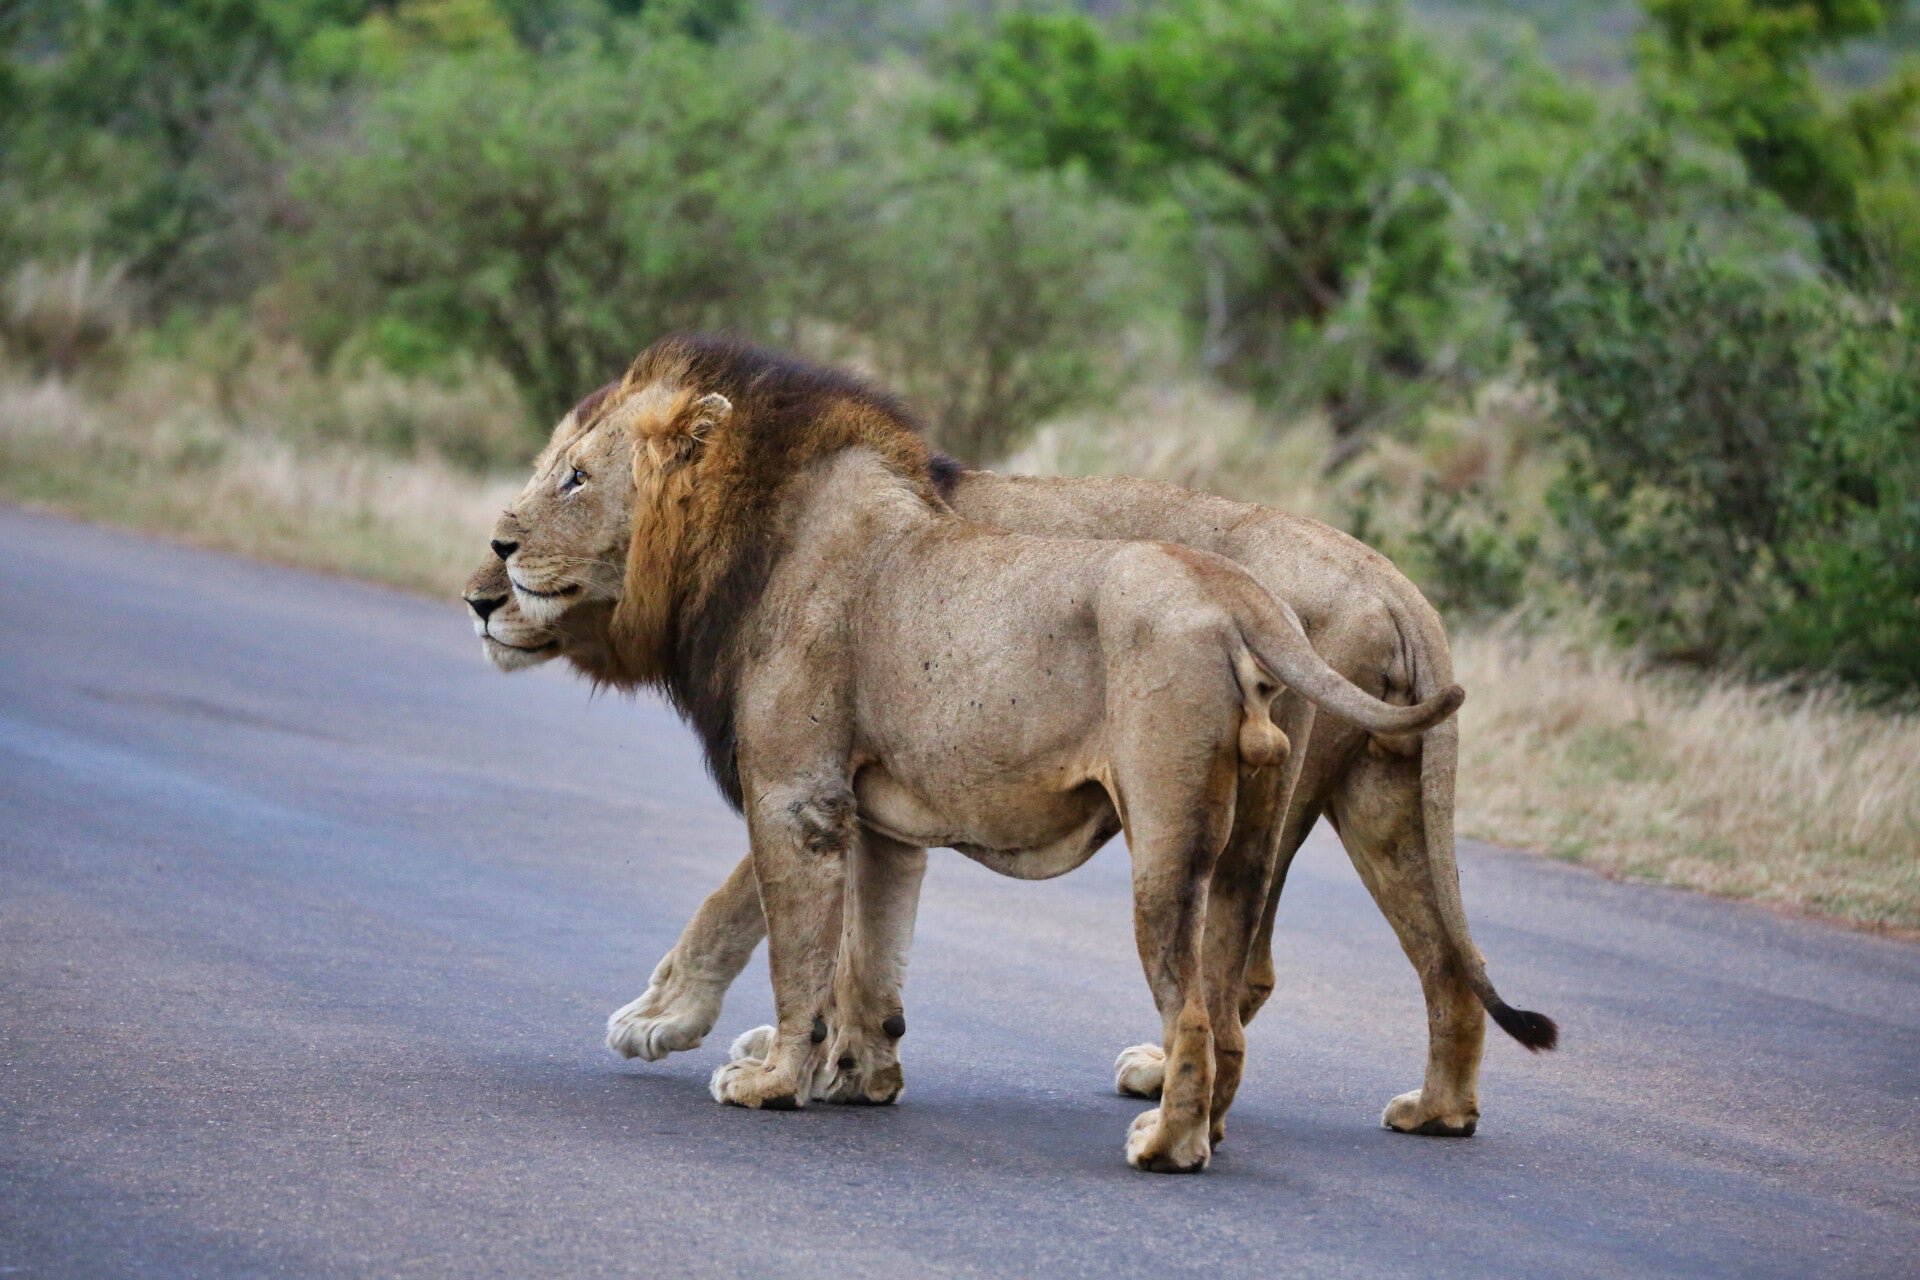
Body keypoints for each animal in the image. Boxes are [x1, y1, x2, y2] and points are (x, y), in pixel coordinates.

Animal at [483, 335, 1499, 1172]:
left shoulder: (799, 791)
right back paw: (1425, 1111)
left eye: (574, 479)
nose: (485, 579)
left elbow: (783, 930)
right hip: (1356, 805)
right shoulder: (877, 807)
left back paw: (1168, 1136)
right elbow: (865, 947)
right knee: (1421, 965)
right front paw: (854, 1069)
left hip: (1184, 837)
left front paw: (722, 1051)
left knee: (1211, 993)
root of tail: (1386, 579)